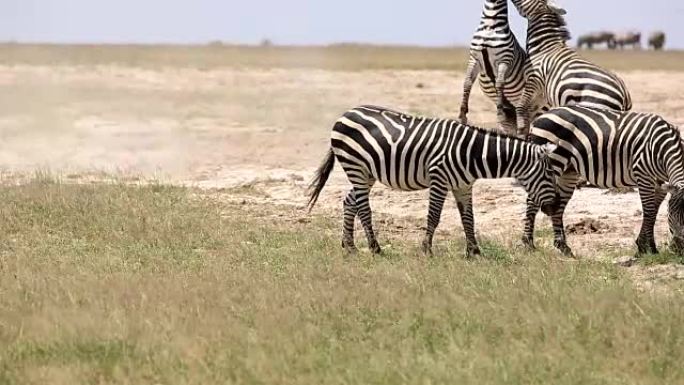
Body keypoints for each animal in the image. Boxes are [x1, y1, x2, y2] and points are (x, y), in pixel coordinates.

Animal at [308, 104, 560, 255]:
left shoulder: (463, 185)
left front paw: (474, 251)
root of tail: (346, 113)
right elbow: (434, 217)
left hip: (366, 173)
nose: (555, 207)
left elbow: (469, 219)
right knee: (362, 207)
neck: (473, 153)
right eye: (549, 174)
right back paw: (375, 248)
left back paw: (349, 246)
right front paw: (426, 249)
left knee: (349, 201)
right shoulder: (439, 178)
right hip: (356, 167)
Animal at [460, 0, 528, 134]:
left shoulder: (504, 60)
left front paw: (500, 113)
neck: (489, 24)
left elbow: (499, 84)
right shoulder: (474, 58)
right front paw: (462, 114)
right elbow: (467, 82)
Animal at [510, 0, 632, 137]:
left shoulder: (533, 79)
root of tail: (624, 93)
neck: (544, 47)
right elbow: (532, 112)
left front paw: (521, 132)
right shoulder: (542, 91)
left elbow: (521, 107)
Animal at [520, 104, 684, 258]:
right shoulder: (643, 176)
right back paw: (528, 244)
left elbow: (654, 212)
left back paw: (563, 247)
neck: (661, 148)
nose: (679, 249)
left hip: (568, 172)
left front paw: (644, 246)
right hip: (550, 164)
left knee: (558, 206)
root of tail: (540, 117)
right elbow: (649, 211)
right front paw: (648, 248)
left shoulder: (660, 183)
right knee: (532, 201)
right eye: (673, 214)